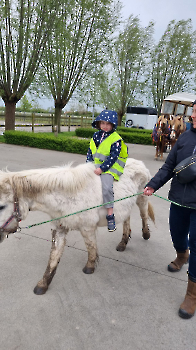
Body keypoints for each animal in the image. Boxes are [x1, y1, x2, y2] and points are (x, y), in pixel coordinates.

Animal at [0, 159, 154, 296]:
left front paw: (90, 267)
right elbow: (54, 257)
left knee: (144, 215)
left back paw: (146, 234)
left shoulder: (87, 228)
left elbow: (91, 247)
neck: (68, 196)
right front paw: (43, 285)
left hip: (142, 197)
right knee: (127, 219)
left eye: (1, 206)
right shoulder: (59, 228)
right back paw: (123, 243)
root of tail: (139, 163)